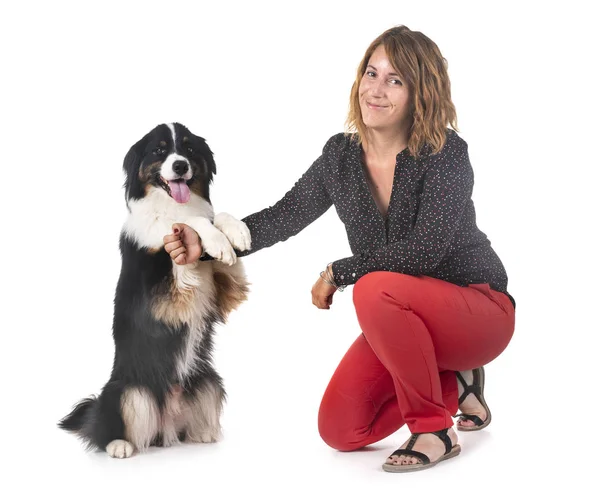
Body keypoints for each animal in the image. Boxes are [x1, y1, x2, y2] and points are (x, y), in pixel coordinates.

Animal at [59, 122, 251, 460]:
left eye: (189, 148)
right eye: (159, 150)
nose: (180, 166)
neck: (170, 204)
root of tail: (166, 426)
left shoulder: (224, 291)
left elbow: (214, 219)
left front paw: (235, 233)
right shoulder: (161, 282)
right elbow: (192, 221)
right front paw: (214, 238)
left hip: (207, 379)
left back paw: (201, 433)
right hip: (126, 389)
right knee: (105, 427)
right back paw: (118, 444)